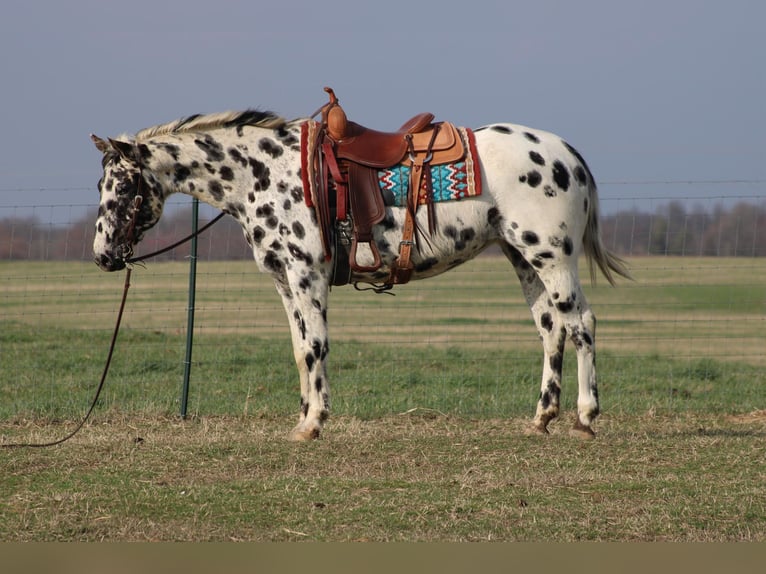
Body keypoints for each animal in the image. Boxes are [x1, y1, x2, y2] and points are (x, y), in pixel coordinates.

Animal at [91, 99, 632, 444]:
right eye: (103, 184)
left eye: (123, 186)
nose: (103, 255)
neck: (265, 172)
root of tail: (568, 154)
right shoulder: (283, 280)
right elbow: (299, 348)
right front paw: (304, 417)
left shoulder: (306, 273)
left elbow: (316, 345)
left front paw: (315, 423)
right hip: (523, 258)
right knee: (550, 328)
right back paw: (542, 418)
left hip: (552, 258)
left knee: (581, 324)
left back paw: (585, 418)